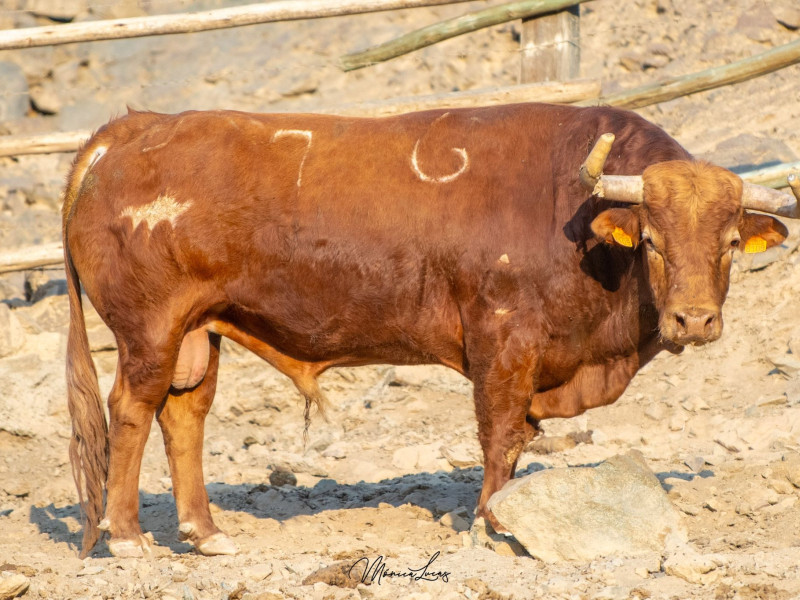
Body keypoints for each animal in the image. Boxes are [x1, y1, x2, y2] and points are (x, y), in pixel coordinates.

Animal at [64, 101, 800, 556]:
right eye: (651, 239)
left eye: (731, 242)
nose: (694, 319)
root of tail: (132, 130)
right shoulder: (501, 343)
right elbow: (500, 438)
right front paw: (491, 525)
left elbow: (516, 442)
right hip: (150, 331)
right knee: (131, 410)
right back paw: (128, 538)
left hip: (197, 331)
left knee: (184, 415)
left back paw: (206, 532)